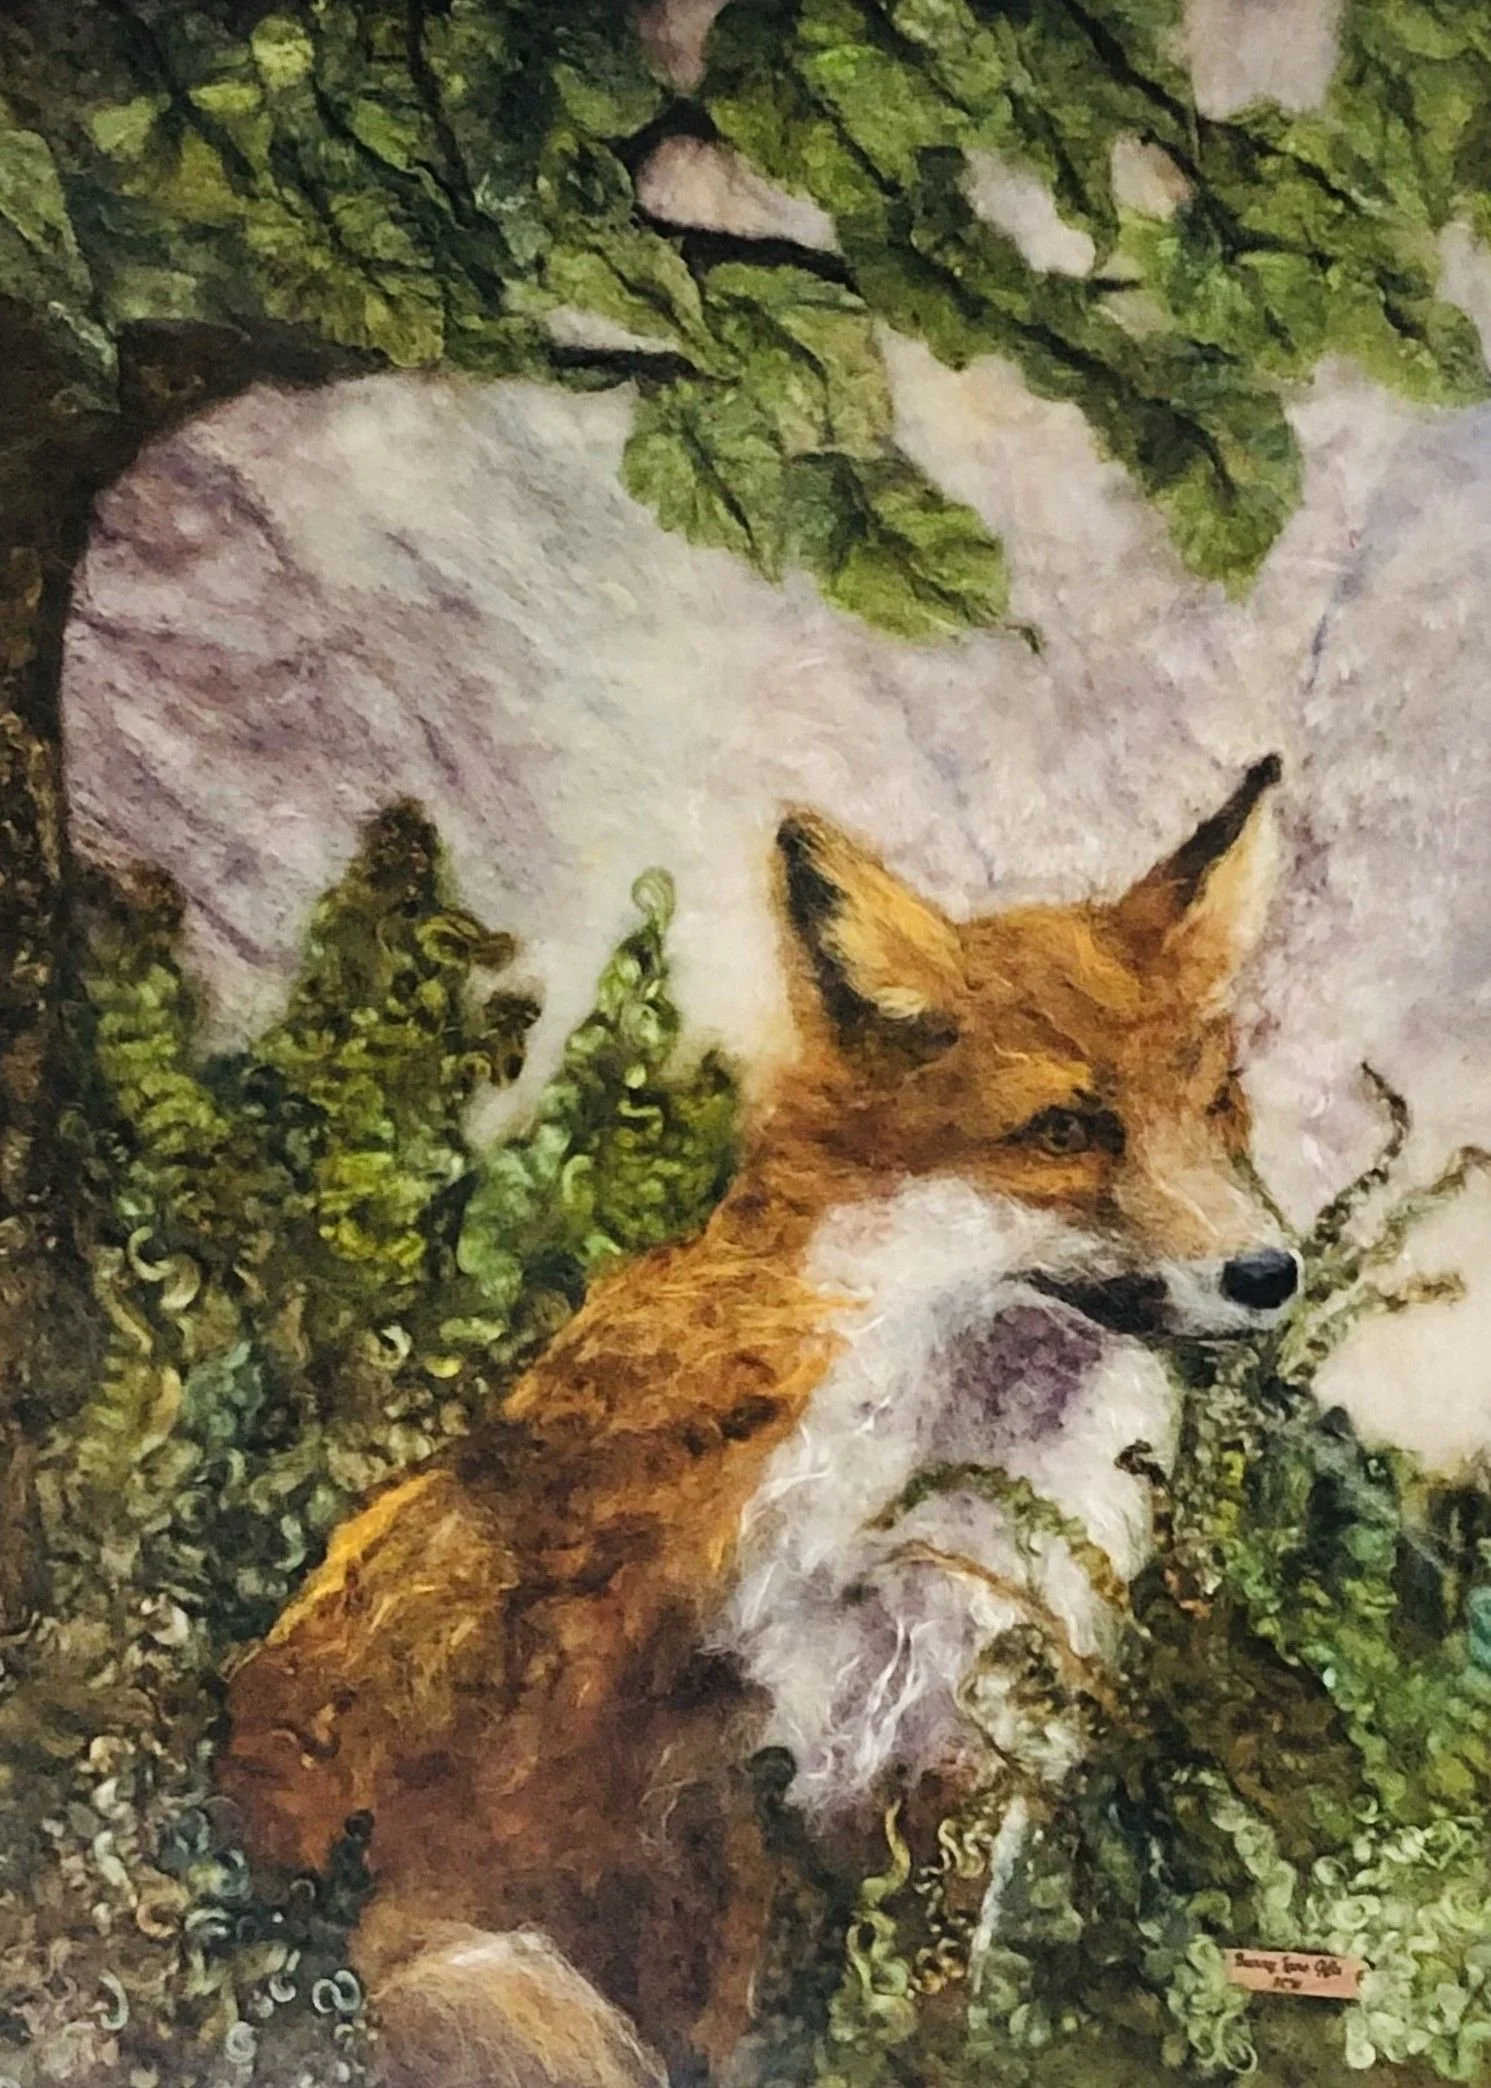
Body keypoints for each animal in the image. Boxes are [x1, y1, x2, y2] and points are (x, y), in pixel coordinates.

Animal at [219, 754, 1300, 2088]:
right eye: (1065, 1130)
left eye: (1219, 1108)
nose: (1272, 1274)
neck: (938, 1504)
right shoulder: (725, 1754)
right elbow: (725, 2020)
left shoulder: (961, 1762)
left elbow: (931, 2017)